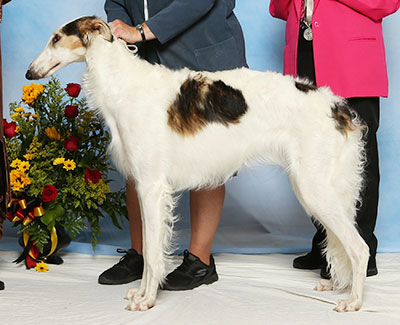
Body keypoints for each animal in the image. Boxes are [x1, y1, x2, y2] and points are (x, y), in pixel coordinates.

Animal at [25, 15, 368, 312]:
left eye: (56, 38)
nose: (29, 73)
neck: (124, 85)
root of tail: (337, 107)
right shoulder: (143, 183)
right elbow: (148, 247)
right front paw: (141, 292)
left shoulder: (152, 186)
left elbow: (153, 252)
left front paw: (147, 299)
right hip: (316, 187)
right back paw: (338, 287)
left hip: (314, 187)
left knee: (359, 247)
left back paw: (353, 301)